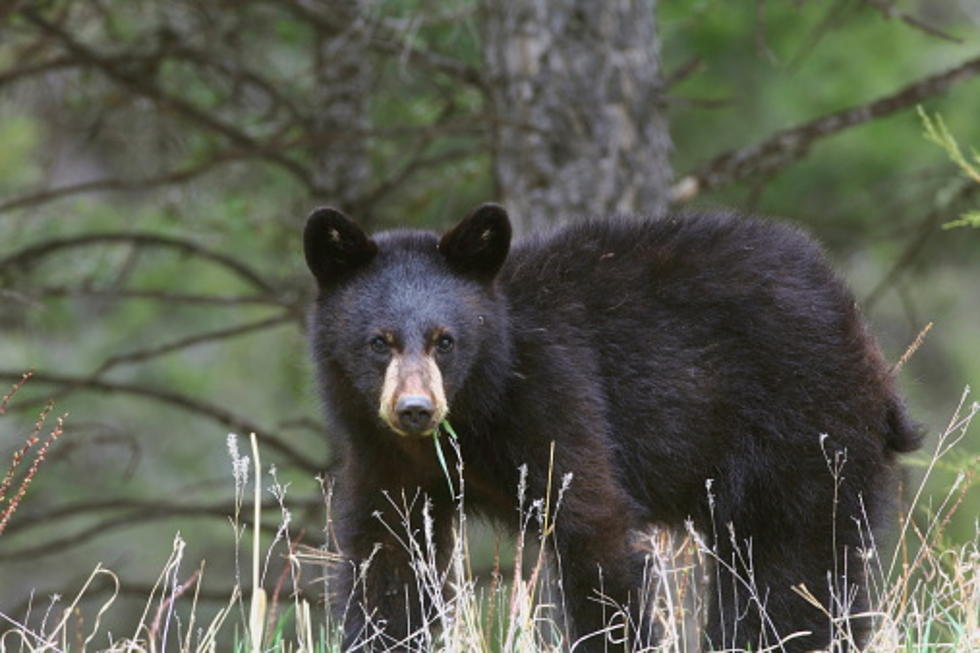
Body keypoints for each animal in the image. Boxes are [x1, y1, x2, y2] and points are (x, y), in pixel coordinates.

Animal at [302, 205, 924, 652]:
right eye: (379, 341)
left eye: (444, 340)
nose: (415, 409)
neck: (480, 406)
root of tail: (857, 326)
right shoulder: (385, 458)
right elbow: (387, 560)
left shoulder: (558, 396)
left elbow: (594, 533)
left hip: (801, 425)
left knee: (790, 565)